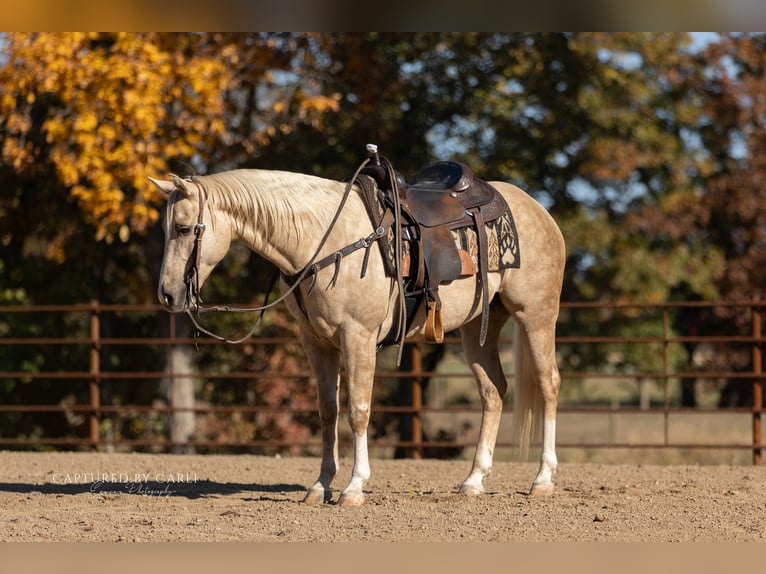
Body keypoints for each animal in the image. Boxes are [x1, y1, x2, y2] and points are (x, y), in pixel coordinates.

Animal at [150, 159, 565, 506]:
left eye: (184, 229)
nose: (167, 295)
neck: (324, 239)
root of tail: (538, 210)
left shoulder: (358, 337)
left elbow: (358, 411)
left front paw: (353, 487)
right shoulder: (316, 342)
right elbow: (328, 411)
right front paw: (320, 486)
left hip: (536, 315)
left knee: (548, 384)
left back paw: (543, 479)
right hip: (477, 326)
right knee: (493, 391)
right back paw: (474, 481)